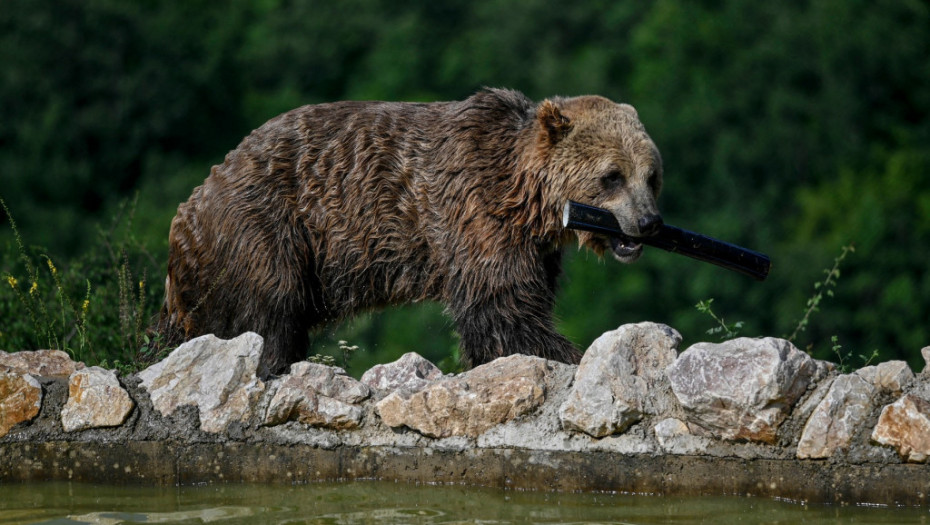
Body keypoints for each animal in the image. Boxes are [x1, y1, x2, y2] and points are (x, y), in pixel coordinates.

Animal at [163, 91, 664, 376]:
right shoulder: (475, 211)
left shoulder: (534, 247)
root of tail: (190, 205)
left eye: (652, 176)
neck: (525, 198)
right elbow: (502, 308)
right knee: (270, 309)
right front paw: (570, 355)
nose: (648, 223)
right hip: (265, 224)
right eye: (612, 176)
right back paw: (274, 364)